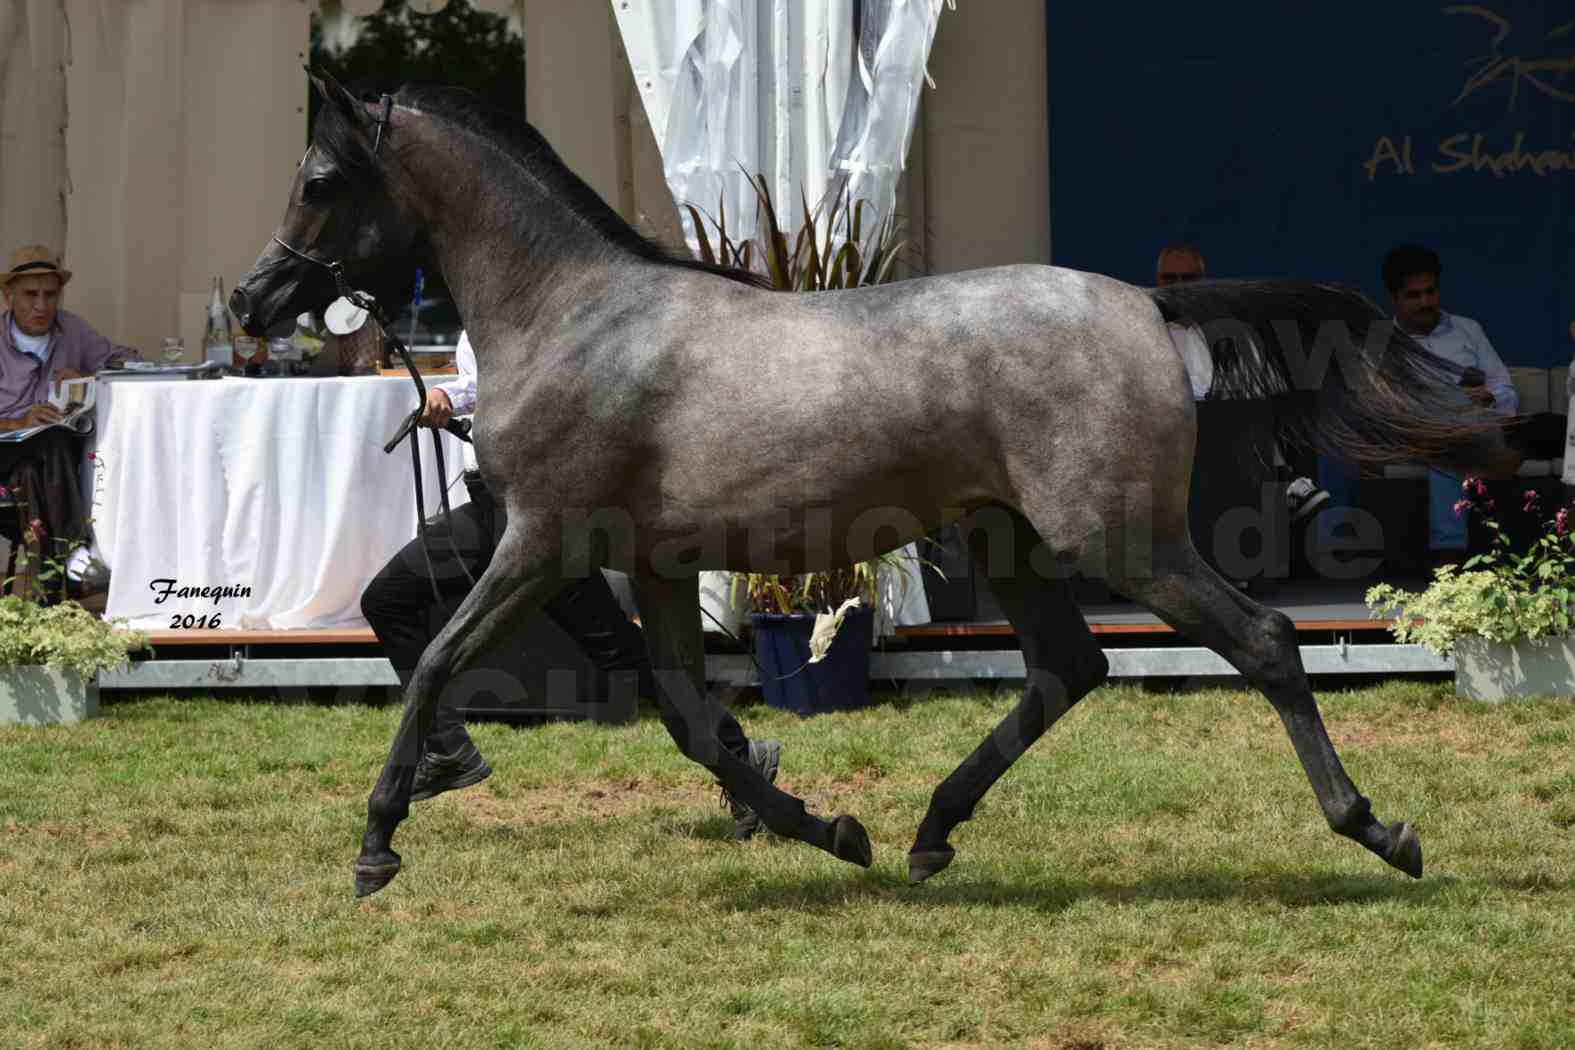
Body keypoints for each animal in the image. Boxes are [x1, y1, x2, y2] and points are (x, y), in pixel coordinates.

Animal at [229, 75, 1512, 894]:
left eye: (320, 176)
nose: (250, 299)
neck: (575, 318)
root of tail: (1149, 305)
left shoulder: (541, 544)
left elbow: (437, 662)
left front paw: (377, 845)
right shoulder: (651, 564)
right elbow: (694, 721)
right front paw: (833, 829)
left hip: (1125, 540)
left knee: (1263, 643)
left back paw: (1379, 831)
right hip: (1009, 540)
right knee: (1070, 667)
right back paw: (930, 834)